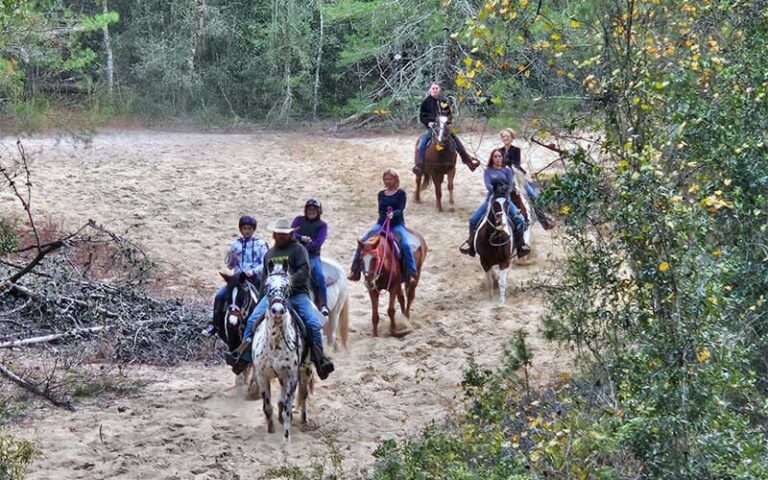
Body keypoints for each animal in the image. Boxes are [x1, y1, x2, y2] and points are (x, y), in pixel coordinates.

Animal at [250, 260, 314, 444]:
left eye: (287, 286)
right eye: (267, 286)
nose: (277, 310)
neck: (274, 344)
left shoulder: (291, 377)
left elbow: (287, 407)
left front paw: (286, 438)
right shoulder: (262, 376)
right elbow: (267, 406)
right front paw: (271, 429)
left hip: (305, 369)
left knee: (303, 394)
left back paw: (304, 420)